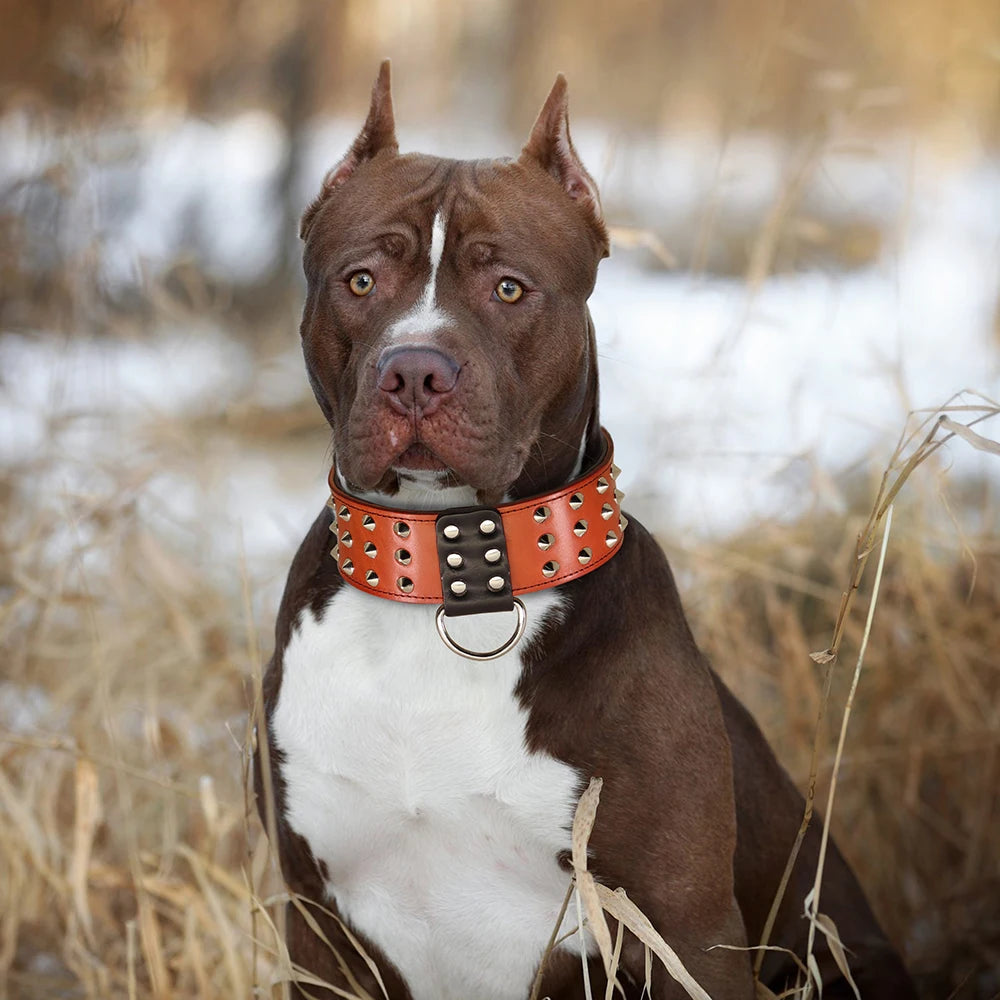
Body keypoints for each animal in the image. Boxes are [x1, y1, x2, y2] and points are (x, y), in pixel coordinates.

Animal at [256, 64, 916, 1000]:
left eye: (509, 288)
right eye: (359, 282)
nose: (414, 371)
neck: (456, 583)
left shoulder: (683, 931)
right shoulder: (317, 929)